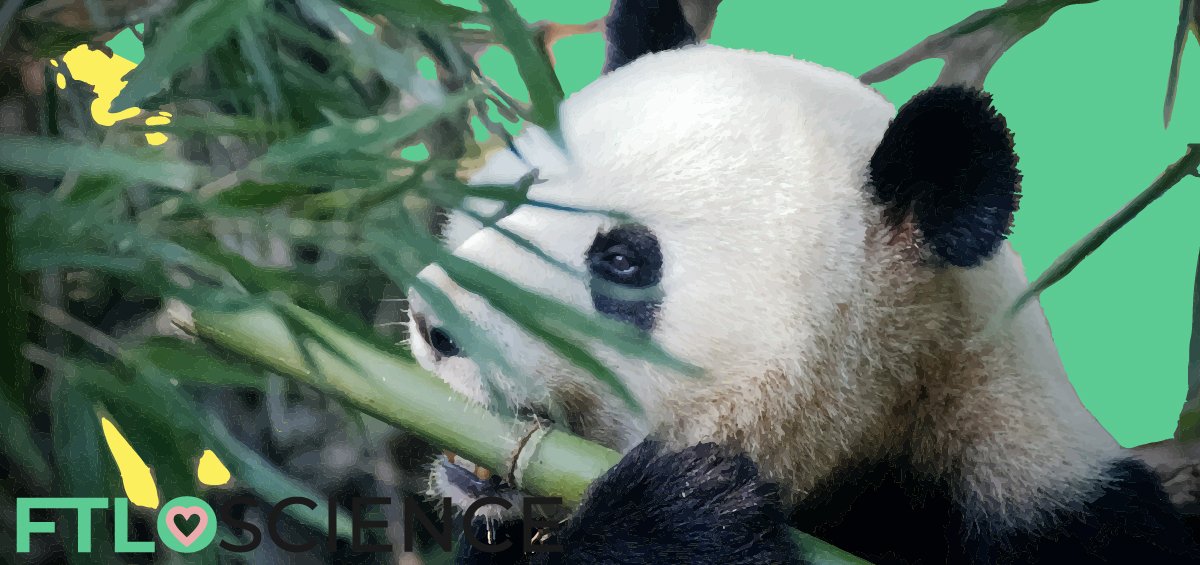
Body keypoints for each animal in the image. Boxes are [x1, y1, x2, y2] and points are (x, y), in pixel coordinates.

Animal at [403, 2, 1200, 563]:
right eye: (515, 197)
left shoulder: (1046, 508)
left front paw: (680, 516)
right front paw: (679, 517)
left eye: (623, 262)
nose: (436, 322)